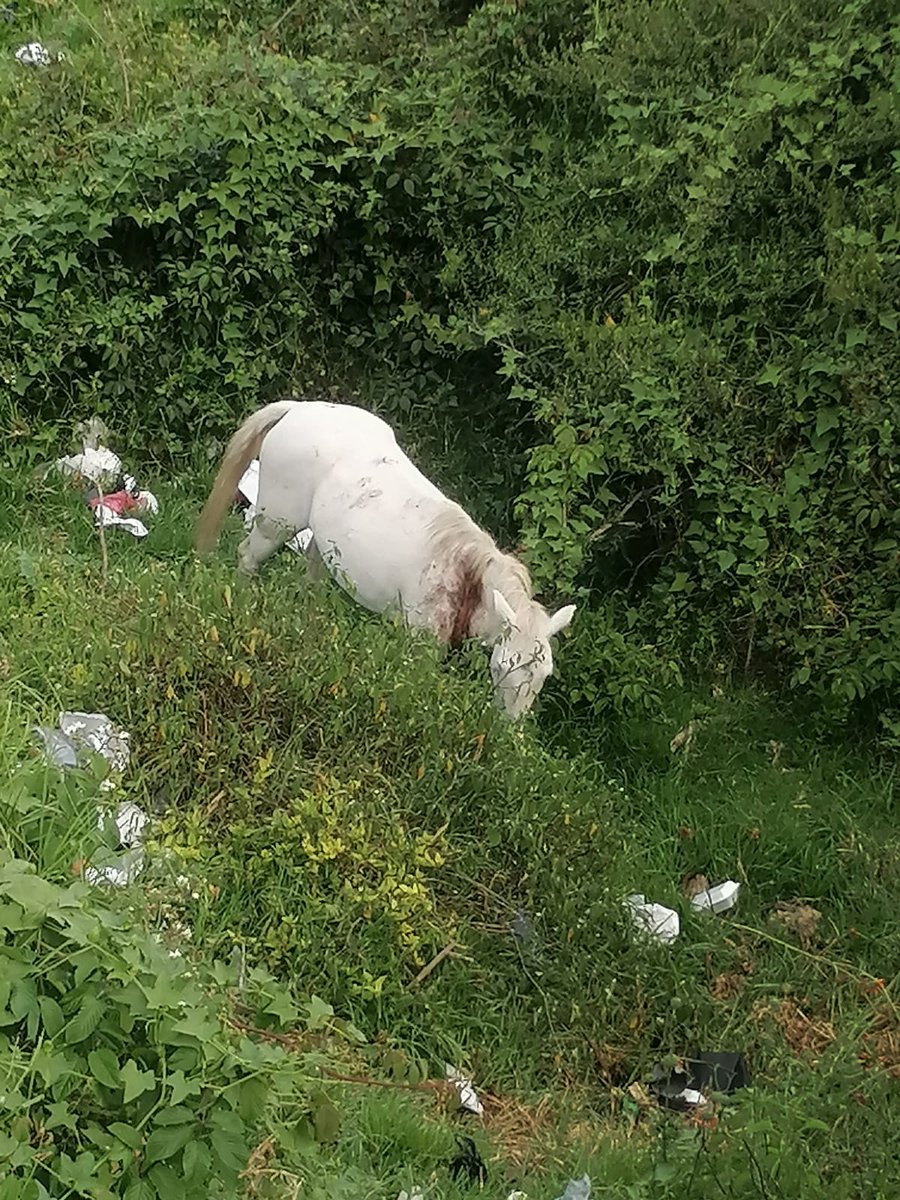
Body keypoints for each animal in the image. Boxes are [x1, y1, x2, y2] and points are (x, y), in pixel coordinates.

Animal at [195, 398, 576, 719]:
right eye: (501, 666)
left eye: (545, 674)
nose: (507, 727)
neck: (464, 571)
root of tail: (298, 407)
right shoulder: (420, 644)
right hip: (277, 523)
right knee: (248, 559)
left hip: (318, 541)